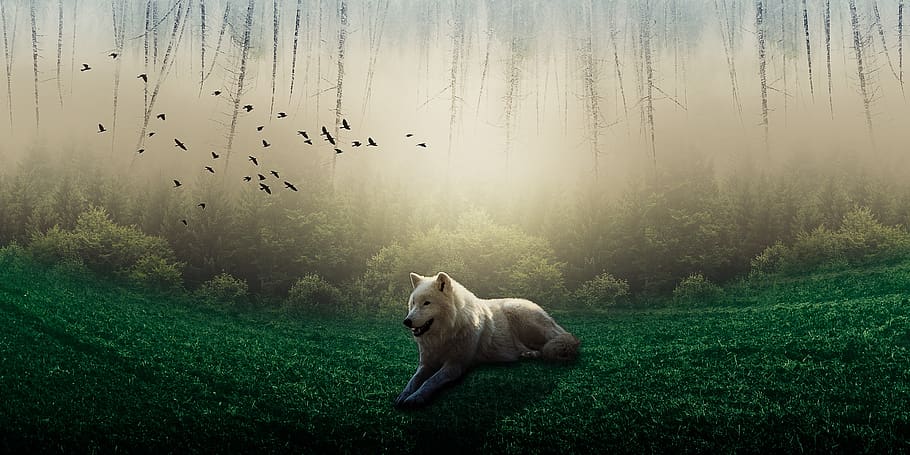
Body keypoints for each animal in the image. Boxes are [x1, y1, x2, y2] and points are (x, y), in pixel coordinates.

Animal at [394, 272, 580, 408]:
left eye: (427, 303)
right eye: (413, 303)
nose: (406, 321)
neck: (444, 335)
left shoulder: (455, 366)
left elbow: (430, 381)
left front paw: (416, 397)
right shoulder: (426, 364)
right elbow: (414, 380)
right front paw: (404, 394)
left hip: (519, 314)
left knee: (551, 343)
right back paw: (528, 354)